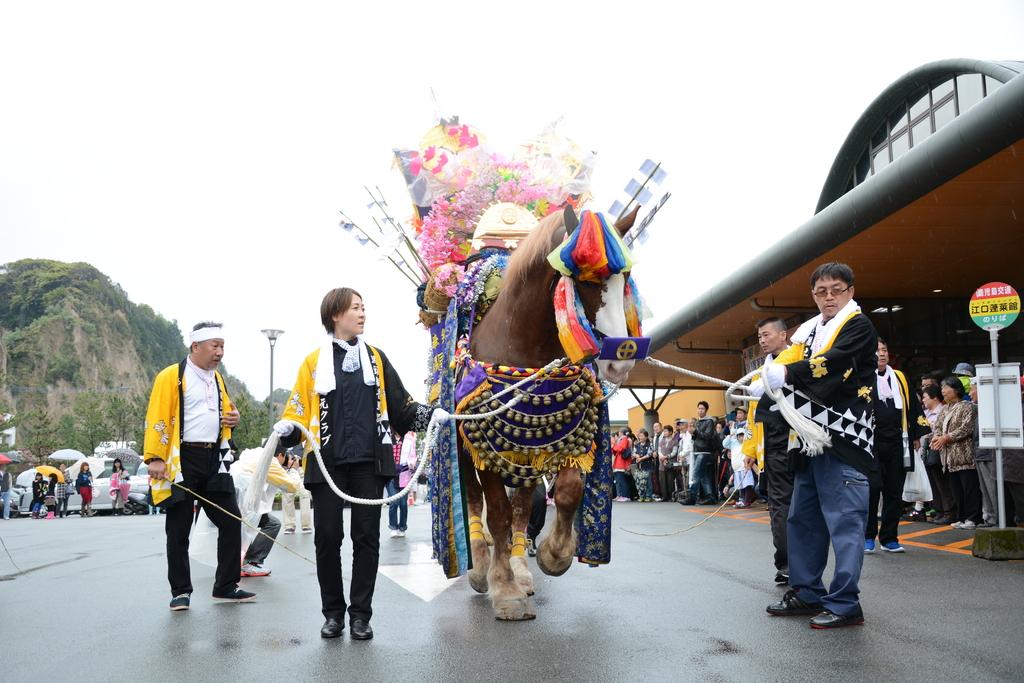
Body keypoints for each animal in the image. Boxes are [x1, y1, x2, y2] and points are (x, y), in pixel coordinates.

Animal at [456, 204, 647, 618]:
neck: (523, 345)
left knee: (522, 508)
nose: (621, 357)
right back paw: (481, 567)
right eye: (585, 279)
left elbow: (568, 492)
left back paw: (520, 568)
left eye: (625, 277)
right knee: (475, 501)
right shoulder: (483, 449)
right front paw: (504, 590)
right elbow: (495, 511)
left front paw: (554, 555)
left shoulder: (557, 440)